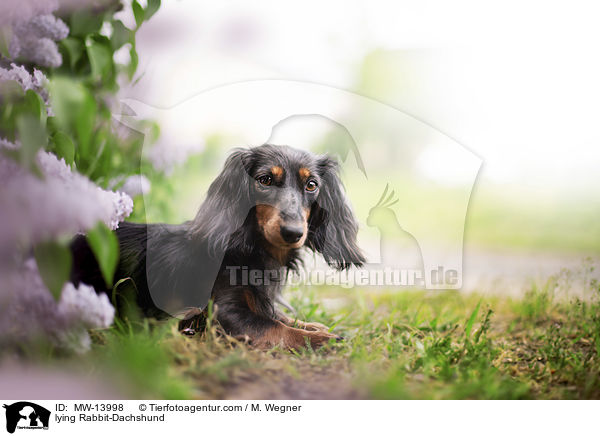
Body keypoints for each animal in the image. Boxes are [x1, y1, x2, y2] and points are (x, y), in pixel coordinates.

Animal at [69, 145, 366, 350]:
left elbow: (281, 316)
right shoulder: (223, 312)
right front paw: (322, 340)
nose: (293, 233)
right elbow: (275, 327)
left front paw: (315, 326)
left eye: (311, 184)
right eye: (265, 180)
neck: (250, 249)